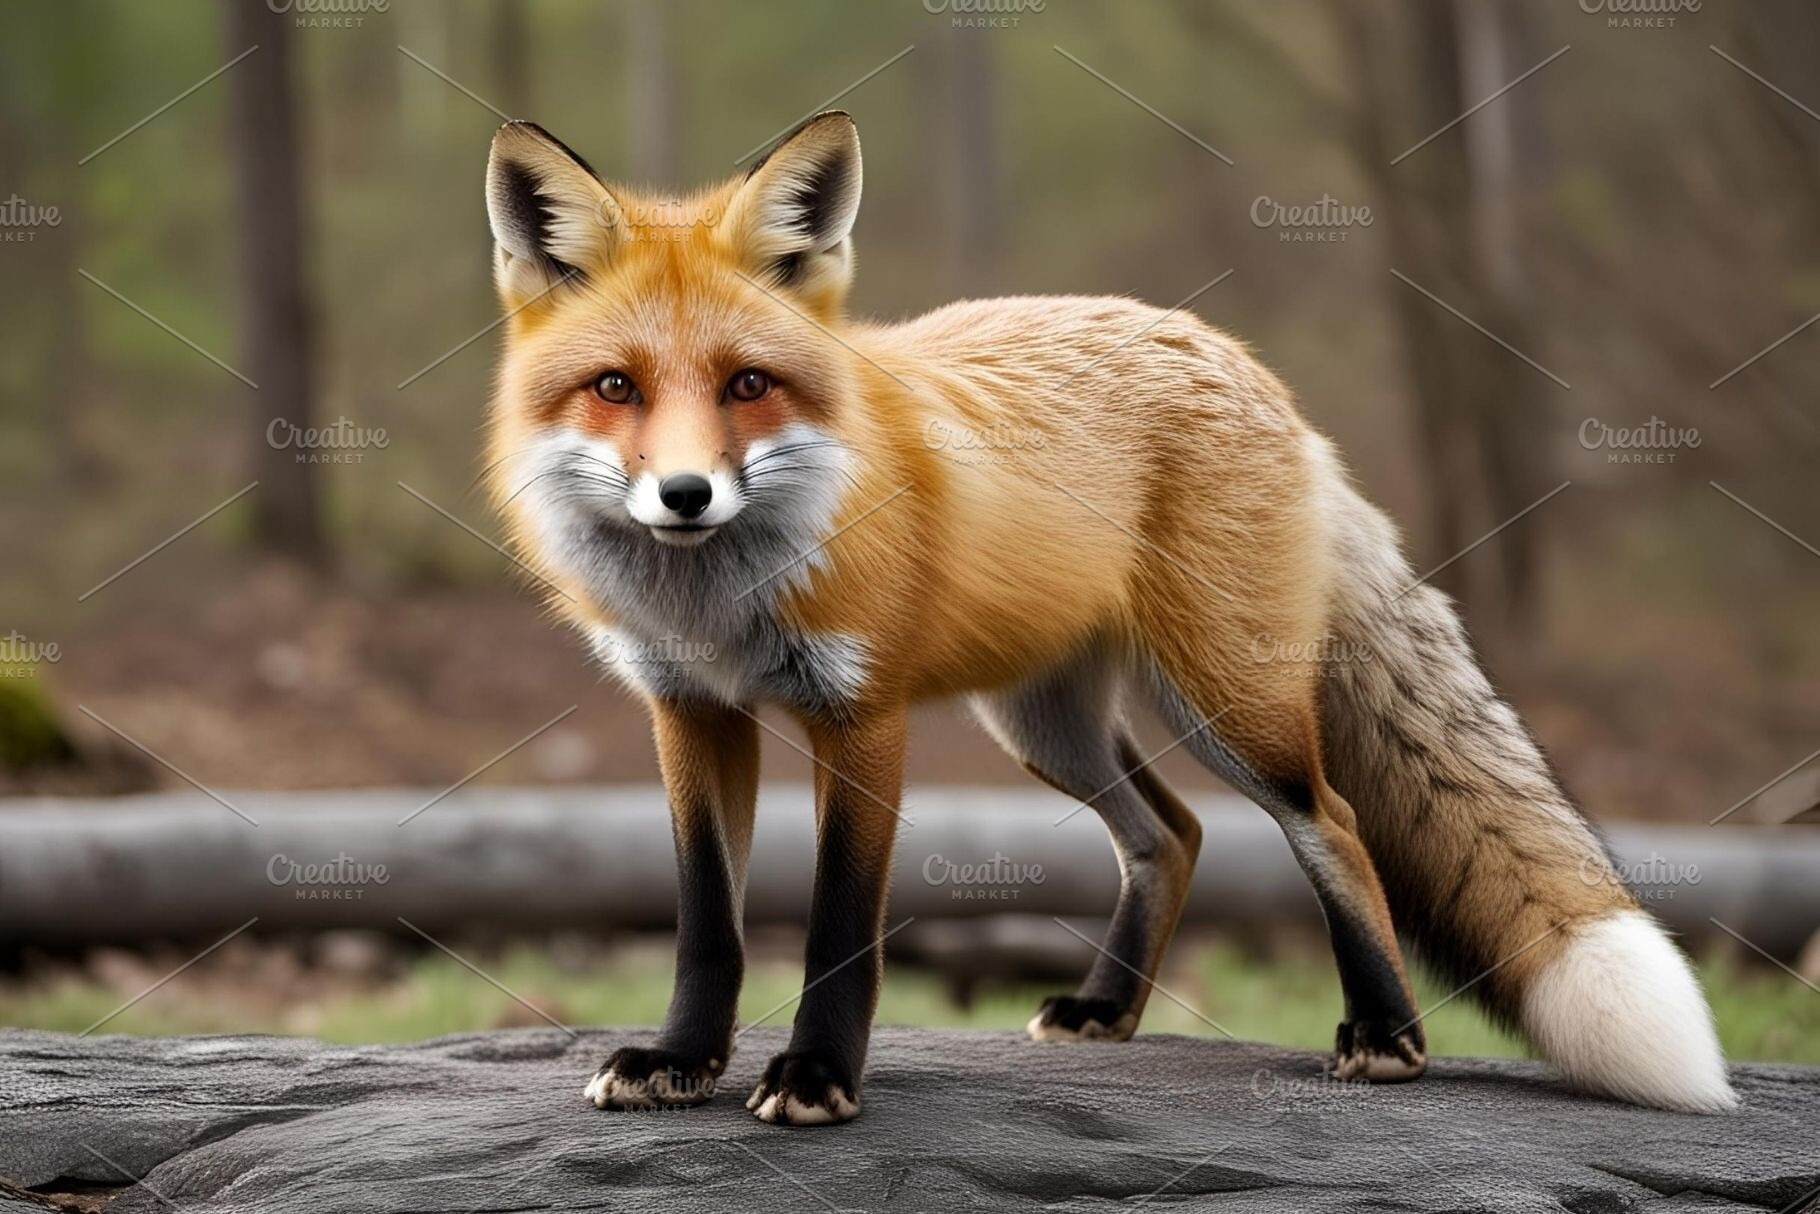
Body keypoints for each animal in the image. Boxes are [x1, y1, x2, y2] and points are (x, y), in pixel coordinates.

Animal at [480, 111, 1736, 1125]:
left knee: (1331, 823)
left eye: (747, 384)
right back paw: (1107, 1009)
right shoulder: (689, 710)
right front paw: (682, 1058)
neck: (720, 598)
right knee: (1167, 834)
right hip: (1045, 723)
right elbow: (708, 920)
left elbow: (839, 926)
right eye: (615, 387)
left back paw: (1386, 1035)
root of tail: (1237, 357)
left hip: (1227, 702)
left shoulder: (862, 714)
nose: (685, 495)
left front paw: (817, 1077)